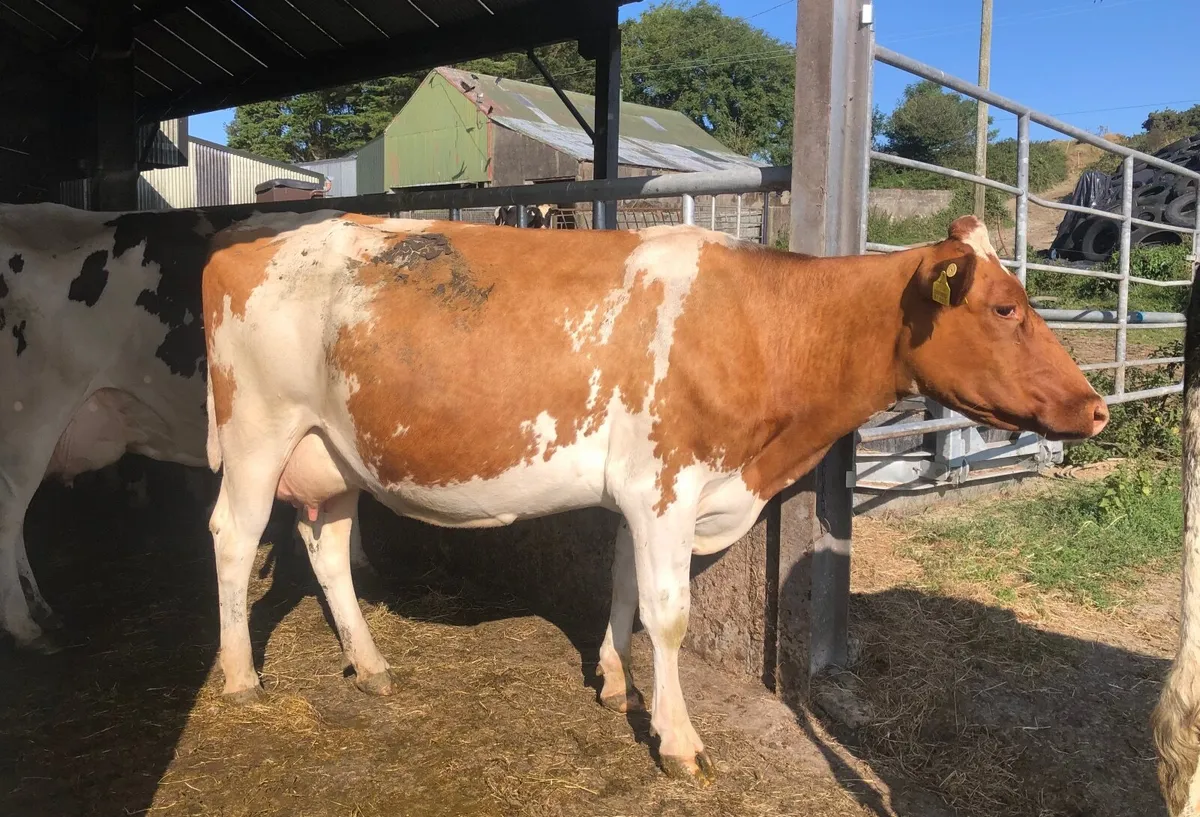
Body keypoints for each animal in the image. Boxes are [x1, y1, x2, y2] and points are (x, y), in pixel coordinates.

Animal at [202, 213, 1107, 785]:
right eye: (1005, 306)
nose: (1096, 406)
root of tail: (246, 240)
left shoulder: (642, 496)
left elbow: (624, 588)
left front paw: (612, 680)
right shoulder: (665, 484)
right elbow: (668, 614)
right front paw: (677, 740)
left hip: (332, 453)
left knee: (325, 548)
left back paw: (370, 664)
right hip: (256, 435)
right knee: (232, 538)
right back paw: (241, 675)